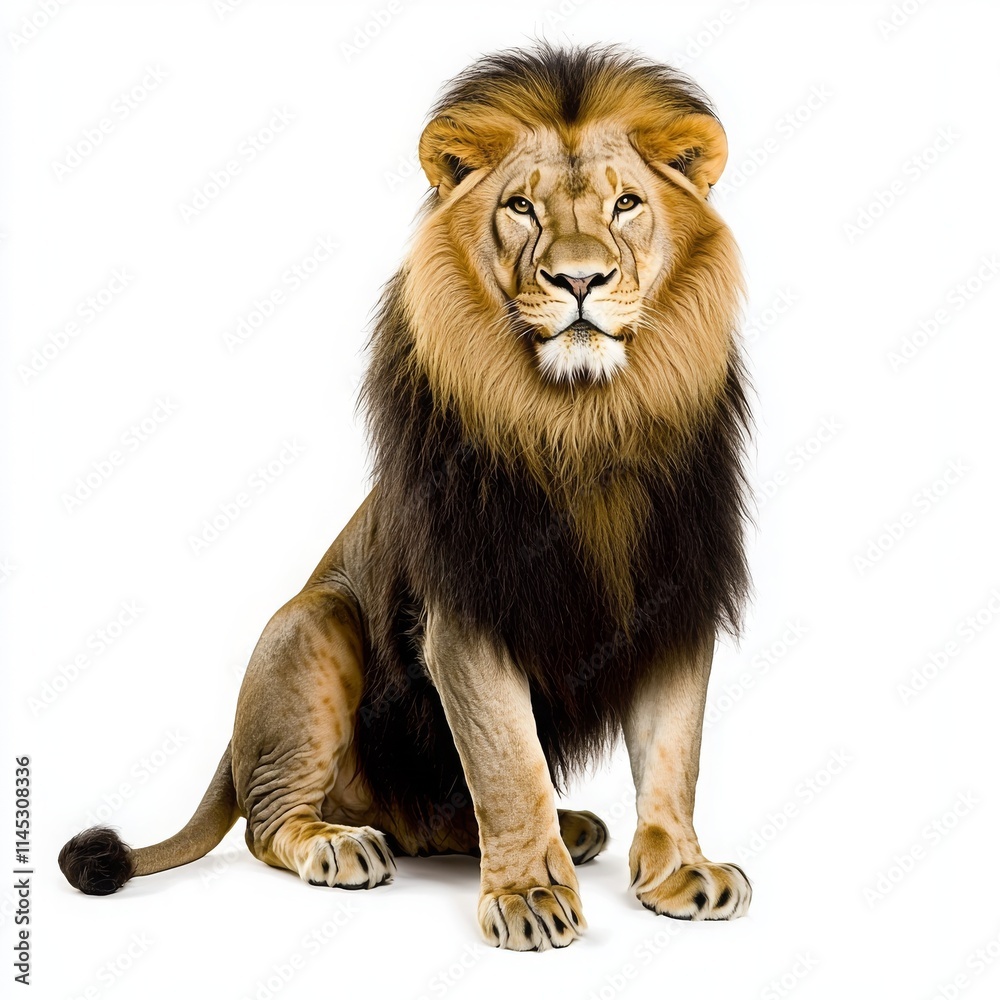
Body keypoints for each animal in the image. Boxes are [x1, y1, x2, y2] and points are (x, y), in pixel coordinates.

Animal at [60, 43, 753, 951]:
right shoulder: (465, 609)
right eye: (521, 208)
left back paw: (571, 829)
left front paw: (679, 873)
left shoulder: (677, 594)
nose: (580, 280)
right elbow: (507, 761)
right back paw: (341, 845)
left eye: (627, 203)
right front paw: (528, 893)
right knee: (268, 822)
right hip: (314, 622)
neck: (582, 421)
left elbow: (674, 754)